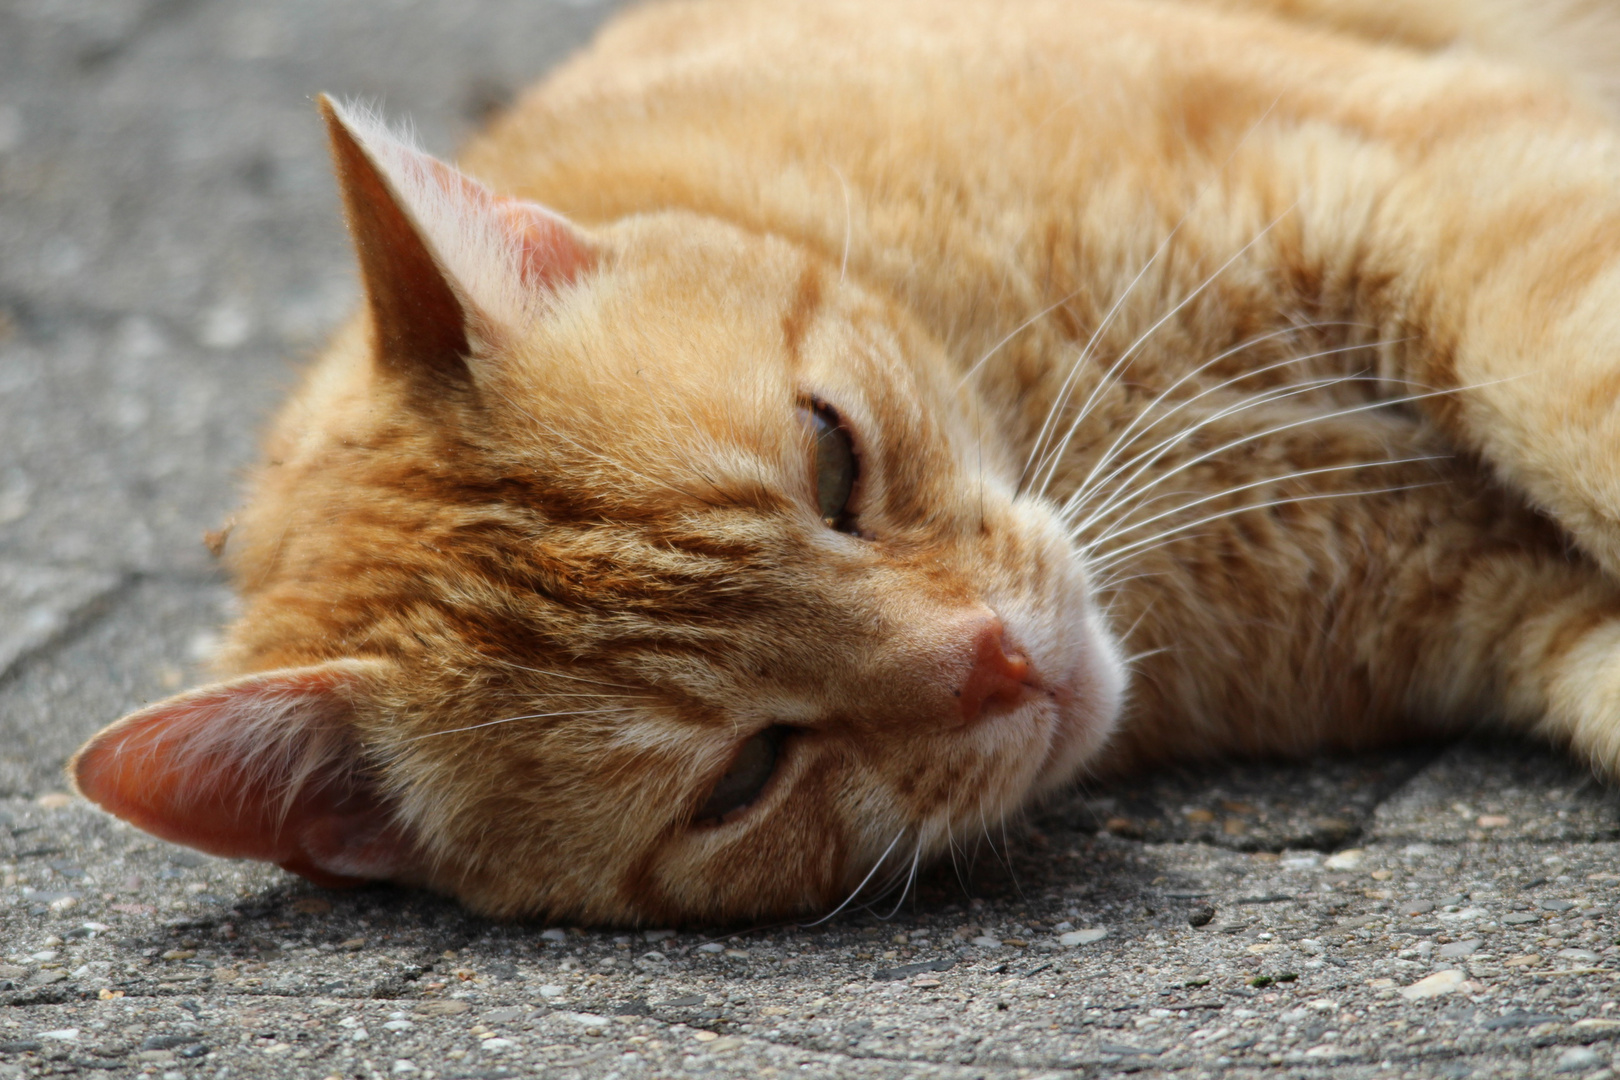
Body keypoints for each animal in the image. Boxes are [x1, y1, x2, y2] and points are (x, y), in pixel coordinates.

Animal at [72, 2, 1620, 932]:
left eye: (833, 463)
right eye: (746, 775)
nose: (1002, 660)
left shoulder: (1440, 183)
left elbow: (1575, 414)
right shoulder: (1504, 612)